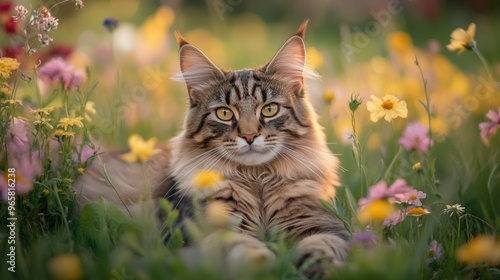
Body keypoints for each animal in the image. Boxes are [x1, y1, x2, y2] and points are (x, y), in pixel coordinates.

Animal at [76, 20, 350, 276]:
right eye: (225, 113)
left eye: (270, 109)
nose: (249, 135)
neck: (257, 180)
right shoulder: (204, 232)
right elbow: (244, 248)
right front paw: (267, 264)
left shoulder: (326, 227)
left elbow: (321, 247)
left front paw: (326, 269)